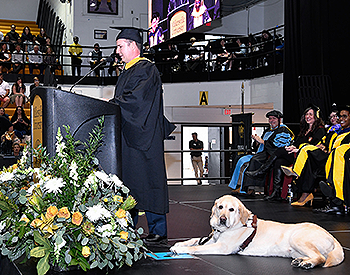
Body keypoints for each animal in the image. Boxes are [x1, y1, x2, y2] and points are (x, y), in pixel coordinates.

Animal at [171, 196, 344, 270]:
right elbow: (194, 239)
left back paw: (307, 263)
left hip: (298, 238)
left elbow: (197, 247)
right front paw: (179, 243)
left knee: (322, 258)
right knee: (317, 256)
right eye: (220, 207)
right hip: (295, 249)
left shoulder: (221, 247)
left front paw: (180, 249)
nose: (222, 219)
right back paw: (302, 261)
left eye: (231, 209)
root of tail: (333, 237)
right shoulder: (213, 239)